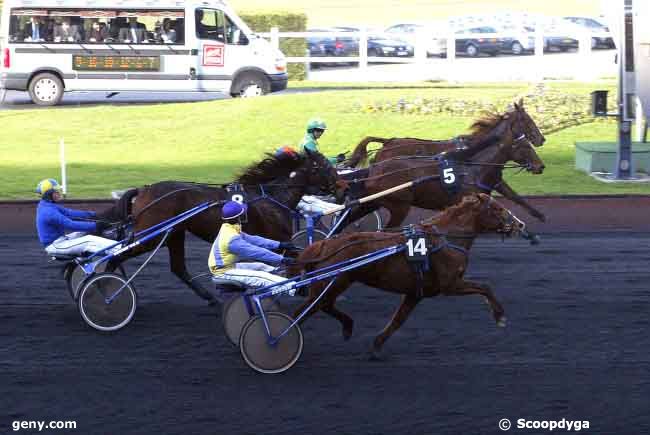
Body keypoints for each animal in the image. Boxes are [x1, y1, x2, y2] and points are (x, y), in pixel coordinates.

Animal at [101, 148, 340, 304]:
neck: (272, 197)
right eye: (324, 166)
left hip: (175, 234)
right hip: (152, 236)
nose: (342, 187)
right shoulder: (278, 239)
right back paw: (105, 289)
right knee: (116, 256)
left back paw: (210, 299)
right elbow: (294, 259)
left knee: (179, 268)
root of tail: (143, 190)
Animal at [292, 192, 524, 360]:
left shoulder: (415, 293)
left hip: (334, 284)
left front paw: (376, 346)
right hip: (333, 283)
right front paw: (500, 316)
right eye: (497, 208)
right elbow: (485, 287)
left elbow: (398, 320)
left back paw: (347, 326)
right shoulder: (450, 285)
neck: (446, 238)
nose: (520, 224)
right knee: (305, 310)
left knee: (323, 306)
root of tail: (323, 244)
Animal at [336, 103, 544, 230]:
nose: (542, 139)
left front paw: (537, 215)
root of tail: (389, 142)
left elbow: (515, 197)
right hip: (397, 204)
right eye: (527, 120)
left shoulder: (494, 181)